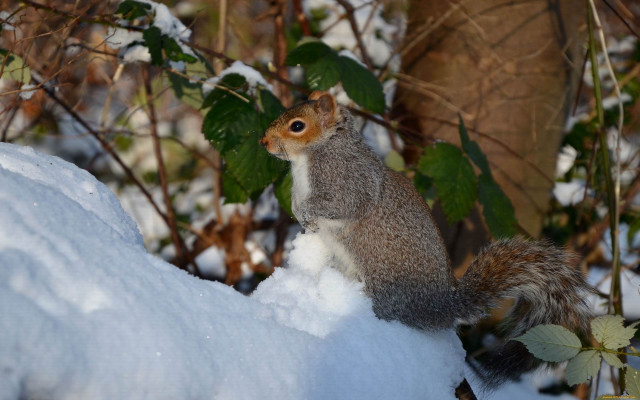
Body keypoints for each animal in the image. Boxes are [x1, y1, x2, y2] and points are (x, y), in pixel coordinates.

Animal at [260, 92, 593, 386]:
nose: (263, 141)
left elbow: (343, 204)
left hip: (386, 288)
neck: (317, 151)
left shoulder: (348, 182)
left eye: (297, 126)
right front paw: (298, 211)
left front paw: (307, 212)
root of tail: (439, 306)